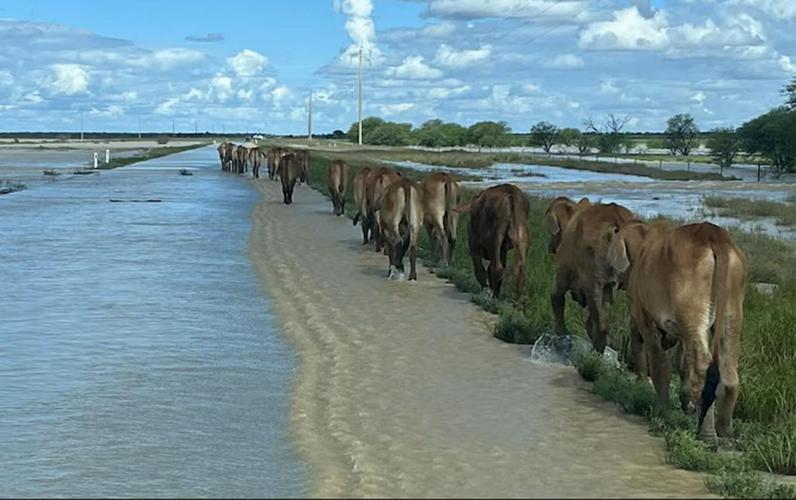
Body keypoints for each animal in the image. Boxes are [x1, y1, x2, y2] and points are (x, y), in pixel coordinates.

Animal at [550, 201, 634, 354]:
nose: (551, 247)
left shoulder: (565, 269)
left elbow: (556, 297)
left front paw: (562, 333)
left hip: (592, 280)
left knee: (602, 326)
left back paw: (595, 355)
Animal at [604, 221, 747, 443]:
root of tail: (714, 235)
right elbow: (682, 363)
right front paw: (684, 402)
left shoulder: (644, 313)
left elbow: (658, 362)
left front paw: (661, 409)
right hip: (731, 310)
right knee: (728, 370)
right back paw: (725, 430)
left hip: (692, 307)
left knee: (702, 368)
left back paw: (707, 433)